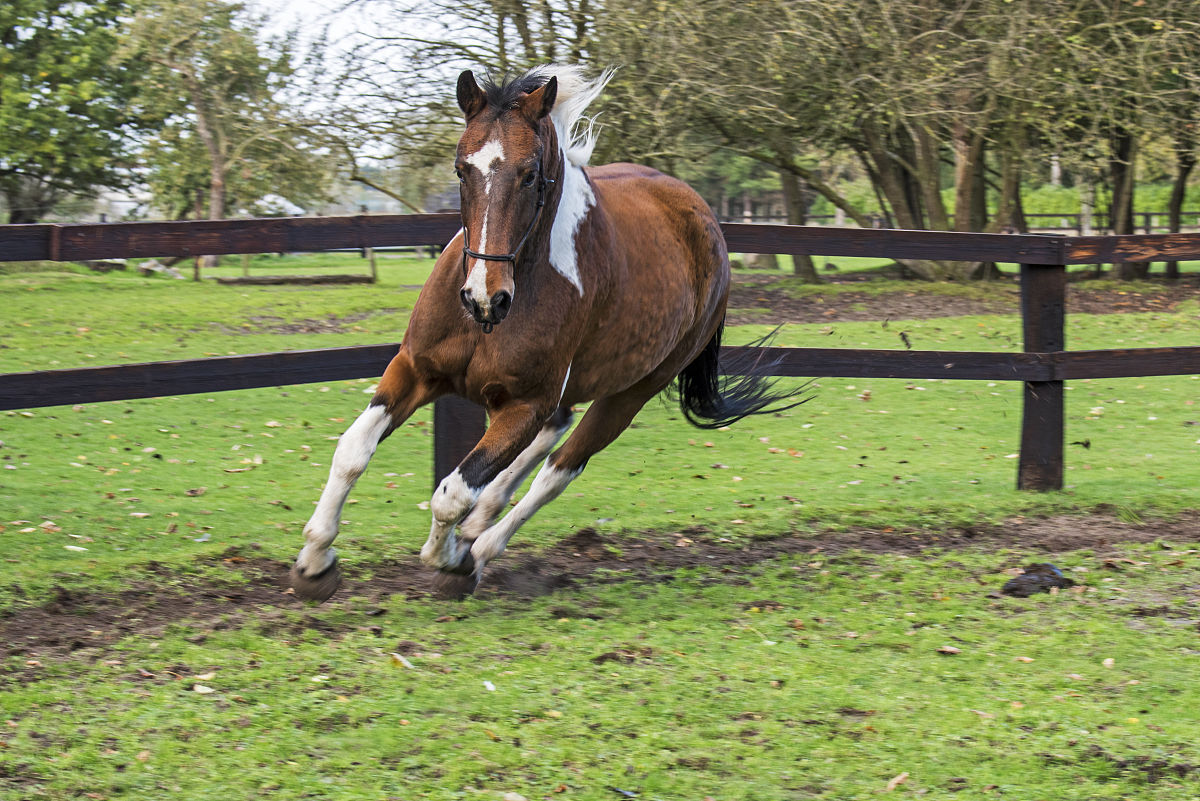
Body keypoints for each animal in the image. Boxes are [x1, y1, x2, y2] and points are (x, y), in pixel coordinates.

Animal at [288, 64, 806, 599]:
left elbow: (452, 492)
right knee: (549, 436)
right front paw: (315, 563)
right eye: (461, 169)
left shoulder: (524, 404)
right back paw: (478, 525)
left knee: (557, 471)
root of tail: (706, 222)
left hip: (631, 393)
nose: (484, 297)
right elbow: (353, 450)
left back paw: (477, 549)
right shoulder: (416, 370)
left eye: (531, 174)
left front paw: (448, 558)